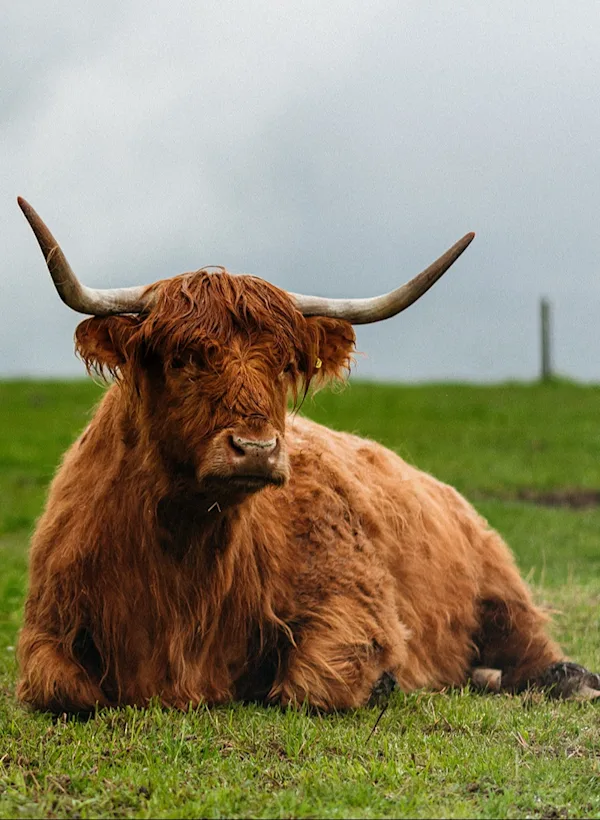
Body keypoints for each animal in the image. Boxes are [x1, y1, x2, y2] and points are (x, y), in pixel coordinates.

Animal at [16, 197, 600, 714]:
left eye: (284, 365)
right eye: (183, 359)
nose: (256, 449)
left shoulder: (356, 601)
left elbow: (310, 684)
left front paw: (383, 682)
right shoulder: (44, 629)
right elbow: (63, 689)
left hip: (501, 592)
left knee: (532, 649)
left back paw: (564, 679)